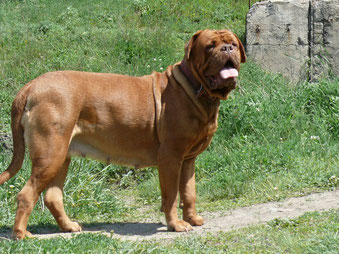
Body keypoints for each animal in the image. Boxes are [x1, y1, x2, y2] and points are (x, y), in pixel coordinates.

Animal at [0, 28, 246, 239]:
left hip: (61, 156)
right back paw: (21, 234)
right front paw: (175, 224)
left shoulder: (188, 160)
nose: (227, 49)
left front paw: (192, 219)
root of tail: (31, 86)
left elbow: (189, 192)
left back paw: (68, 226)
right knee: (26, 194)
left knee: (52, 196)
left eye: (233, 43)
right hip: (50, 155)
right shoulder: (171, 157)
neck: (195, 87)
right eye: (210, 46)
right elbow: (171, 195)